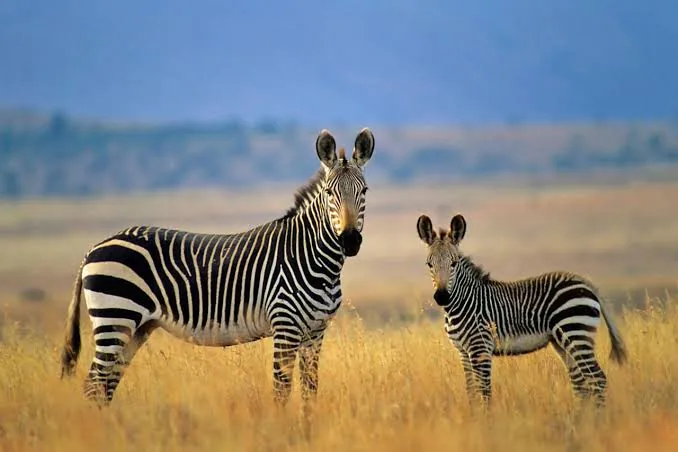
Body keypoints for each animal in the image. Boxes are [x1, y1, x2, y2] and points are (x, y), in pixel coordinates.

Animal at [60, 128, 375, 409]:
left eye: (364, 191)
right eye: (330, 193)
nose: (349, 241)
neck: (313, 259)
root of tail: (93, 248)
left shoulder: (316, 331)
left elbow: (310, 392)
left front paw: (305, 432)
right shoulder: (285, 325)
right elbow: (281, 391)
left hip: (136, 327)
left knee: (105, 386)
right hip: (115, 316)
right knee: (94, 384)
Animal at [415, 213, 627, 407]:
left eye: (454, 263)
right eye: (429, 264)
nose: (442, 297)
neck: (463, 303)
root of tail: (584, 281)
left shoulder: (480, 348)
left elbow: (485, 394)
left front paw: (487, 423)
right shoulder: (463, 352)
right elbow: (472, 393)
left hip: (575, 332)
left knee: (598, 379)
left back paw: (597, 420)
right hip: (563, 341)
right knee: (581, 384)